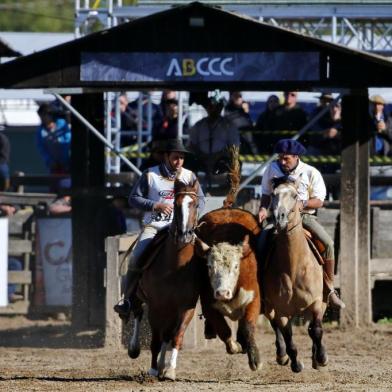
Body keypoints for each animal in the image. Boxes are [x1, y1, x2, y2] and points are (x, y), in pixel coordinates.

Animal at [129, 178, 202, 380]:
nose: (185, 235)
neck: (175, 267)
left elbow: (176, 336)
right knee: (137, 312)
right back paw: (134, 349)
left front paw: (170, 370)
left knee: (168, 335)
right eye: (176, 205)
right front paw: (153, 369)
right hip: (141, 297)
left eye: (196, 204)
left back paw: (162, 366)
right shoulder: (156, 306)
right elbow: (155, 339)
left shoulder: (186, 307)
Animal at [264, 178, 328, 374]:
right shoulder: (282, 310)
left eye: (294, 195)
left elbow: (316, 330)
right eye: (273, 194)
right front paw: (295, 363)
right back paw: (282, 356)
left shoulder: (316, 302)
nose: (279, 218)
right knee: (275, 326)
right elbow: (288, 336)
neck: (294, 267)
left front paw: (321, 358)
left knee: (313, 329)